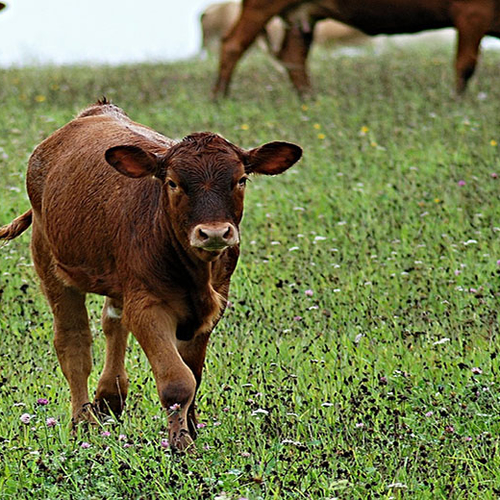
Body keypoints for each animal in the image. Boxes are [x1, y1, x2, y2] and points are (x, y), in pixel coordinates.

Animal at [0, 99, 300, 452]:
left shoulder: (213, 305)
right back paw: (83, 422)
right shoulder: (148, 306)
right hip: (49, 261)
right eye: (173, 182)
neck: (195, 274)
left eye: (240, 180)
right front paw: (182, 444)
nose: (214, 233)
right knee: (73, 341)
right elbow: (178, 380)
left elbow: (194, 372)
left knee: (113, 322)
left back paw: (109, 399)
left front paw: (192, 427)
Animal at [213, 0, 500, 97]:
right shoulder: (472, 12)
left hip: (300, 18)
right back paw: (219, 98)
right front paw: (457, 102)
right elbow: (465, 65)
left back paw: (309, 100)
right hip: (260, 6)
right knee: (233, 45)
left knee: (294, 57)